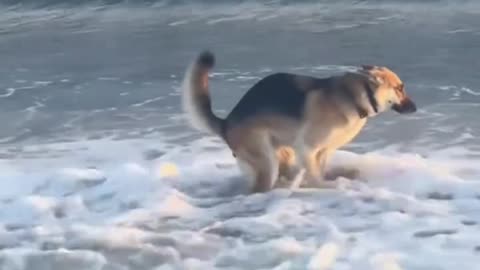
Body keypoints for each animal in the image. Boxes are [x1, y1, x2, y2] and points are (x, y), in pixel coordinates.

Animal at [181, 50, 416, 193]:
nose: (415, 108)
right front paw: (326, 188)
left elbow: (320, 170)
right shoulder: (307, 148)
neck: (354, 96)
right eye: (399, 88)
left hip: (282, 152)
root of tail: (226, 122)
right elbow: (316, 177)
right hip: (266, 159)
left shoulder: (322, 151)